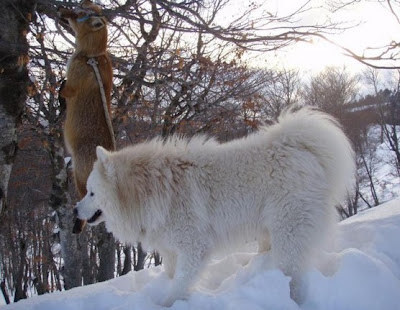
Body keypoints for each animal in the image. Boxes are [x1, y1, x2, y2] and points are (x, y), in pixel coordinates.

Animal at [74, 108, 354, 306]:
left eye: (91, 192)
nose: (75, 210)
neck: (151, 189)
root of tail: (301, 147)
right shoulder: (171, 250)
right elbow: (172, 275)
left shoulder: (194, 246)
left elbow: (179, 285)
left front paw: (168, 303)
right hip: (269, 229)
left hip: (289, 229)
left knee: (291, 273)